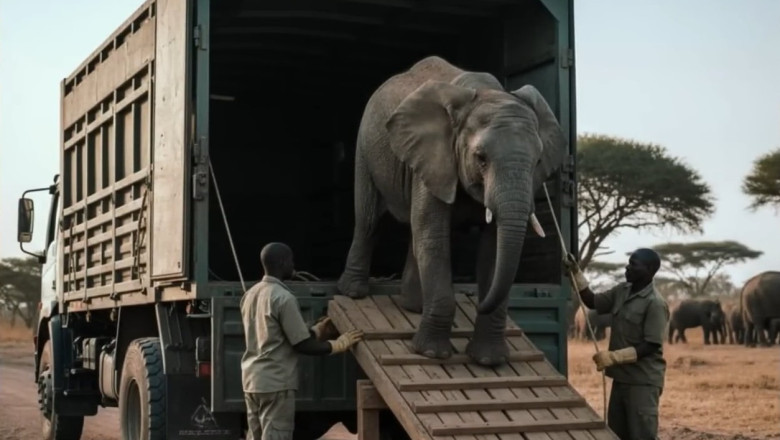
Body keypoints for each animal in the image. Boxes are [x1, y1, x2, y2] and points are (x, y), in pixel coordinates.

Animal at [336, 56, 567, 366]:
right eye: (481, 158)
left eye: (538, 160)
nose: (478, 302)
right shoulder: (434, 156)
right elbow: (434, 236)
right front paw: (431, 354)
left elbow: (493, 248)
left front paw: (489, 361)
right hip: (366, 145)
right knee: (369, 218)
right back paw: (353, 292)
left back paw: (414, 306)